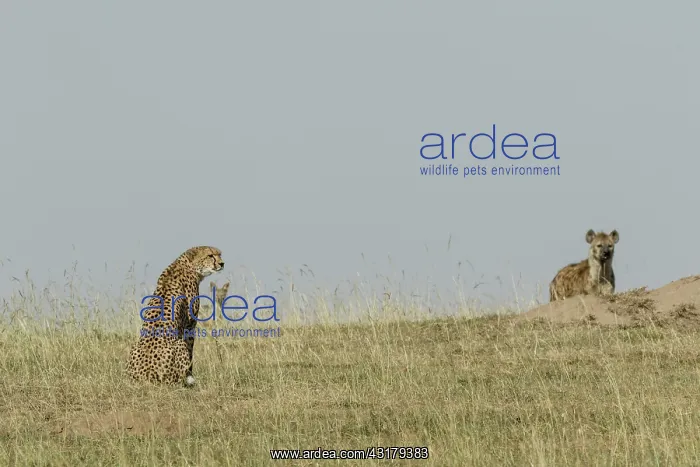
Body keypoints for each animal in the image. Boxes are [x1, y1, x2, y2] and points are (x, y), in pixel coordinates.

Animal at [125, 246, 224, 386]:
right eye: (210, 255)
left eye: (219, 254)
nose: (222, 263)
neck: (188, 264)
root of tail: (146, 377)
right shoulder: (190, 325)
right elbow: (190, 350)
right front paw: (190, 376)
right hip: (178, 346)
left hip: (134, 347)